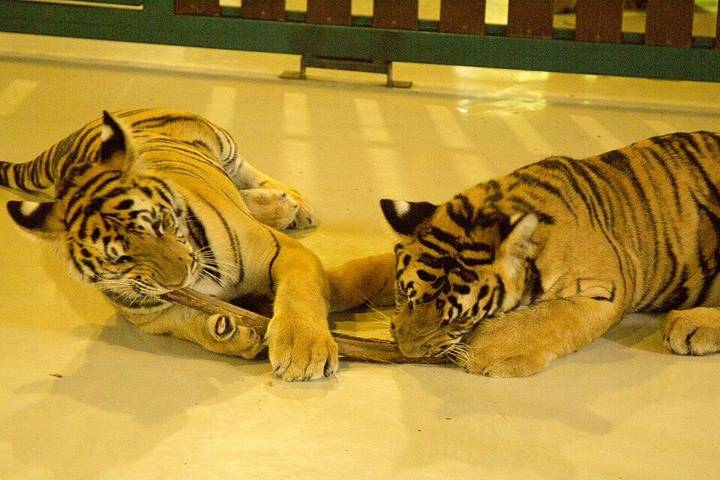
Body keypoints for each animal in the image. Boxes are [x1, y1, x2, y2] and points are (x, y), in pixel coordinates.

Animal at [0, 108, 379, 382]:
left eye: (160, 223)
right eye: (118, 259)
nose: (179, 277)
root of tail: (75, 136)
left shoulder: (283, 251)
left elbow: (300, 293)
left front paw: (303, 350)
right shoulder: (154, 315)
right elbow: (189, 325)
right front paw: (235, 335)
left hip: (221, 142)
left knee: (245, 170)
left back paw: (294, 203)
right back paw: (279, 206)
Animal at [367, 131, 720, 377]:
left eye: (459, 319)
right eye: (405, 295)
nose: (407, 351)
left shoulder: (612, 288)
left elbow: (552, 317)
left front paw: (483, 350)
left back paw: (687, 325)